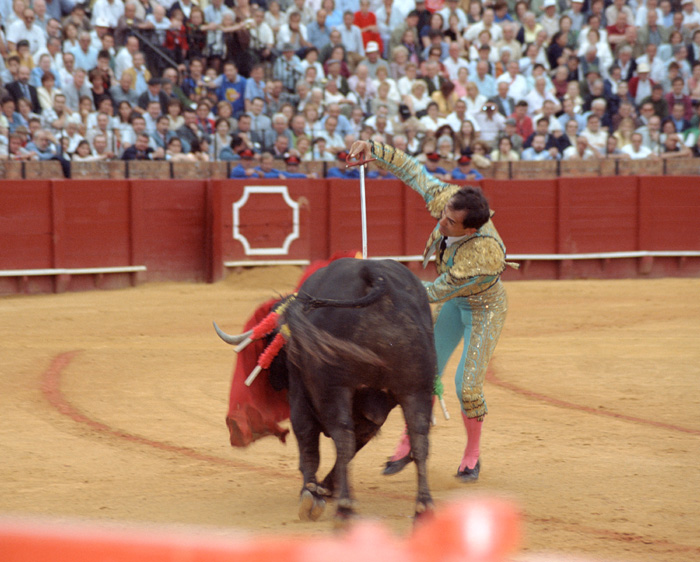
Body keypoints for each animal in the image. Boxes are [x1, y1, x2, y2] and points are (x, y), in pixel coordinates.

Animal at [213, 258, 434, 520]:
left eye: (270, 340)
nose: (274, 379)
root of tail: (374, 274)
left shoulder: (300, 397)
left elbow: (309, 444)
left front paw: (311, 493)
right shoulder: (372, 417)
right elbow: (352, 447)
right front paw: (325, 487)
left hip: (334, 389)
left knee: (341, 436)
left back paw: (344, 507)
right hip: (417, 389)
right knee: (419, 438)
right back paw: (423, 506)